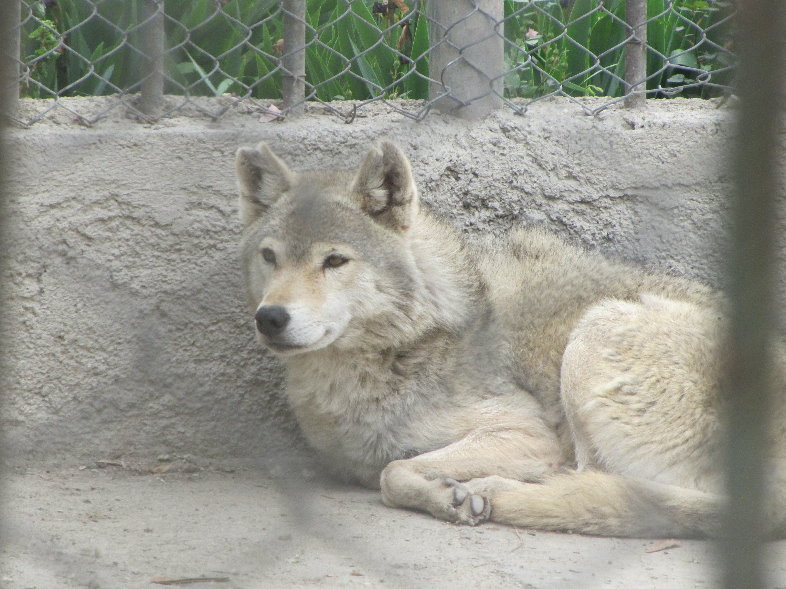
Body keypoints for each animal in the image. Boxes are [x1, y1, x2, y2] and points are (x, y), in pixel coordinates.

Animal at [236, 140, 786, 538]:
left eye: (334, 261)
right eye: (270, 257)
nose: (271, 318)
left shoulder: (525, 432)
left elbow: (395, 472)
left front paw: (452, 496)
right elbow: (394, 467)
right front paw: (450, 493)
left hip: (594, 332)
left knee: (596, 483)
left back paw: (498, 491)